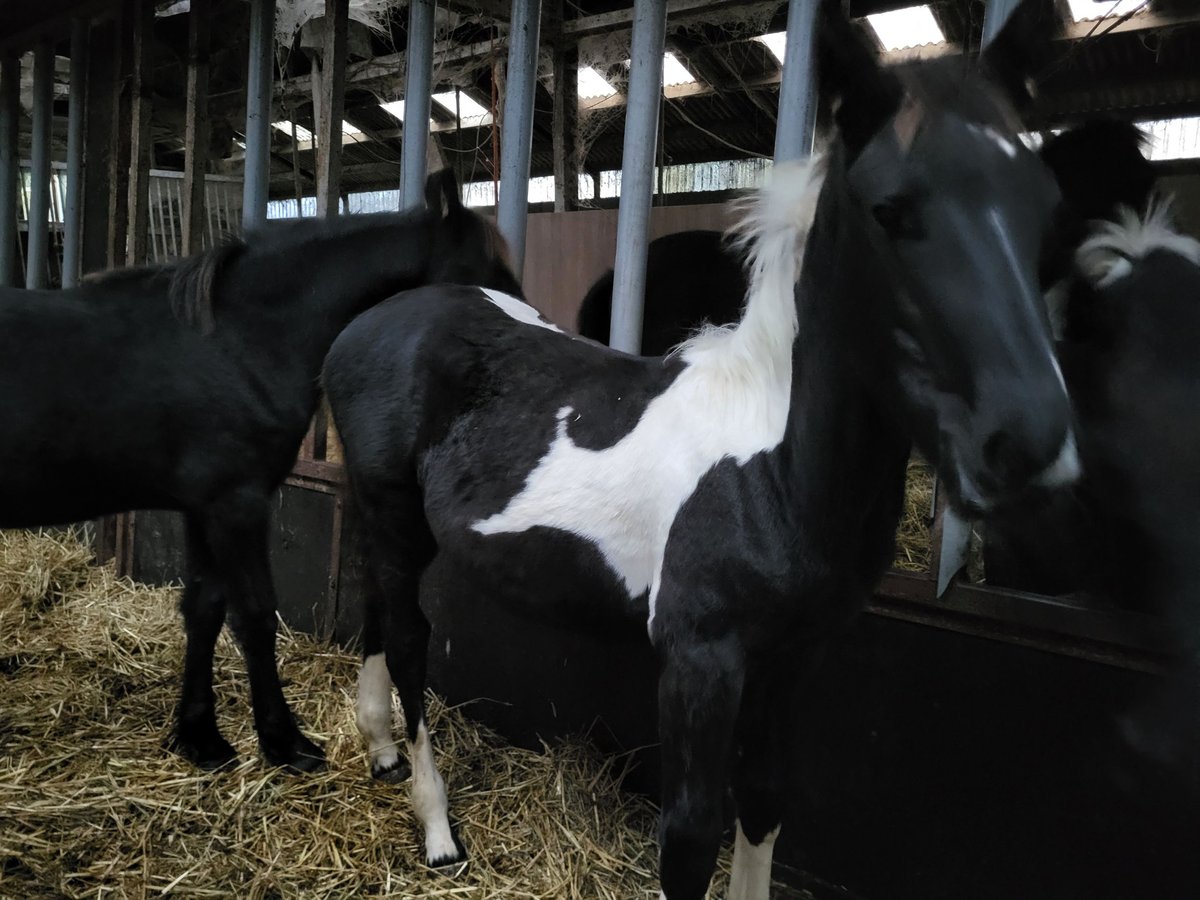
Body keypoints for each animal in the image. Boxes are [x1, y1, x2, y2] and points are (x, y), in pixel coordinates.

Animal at [0, 170, 520, 777]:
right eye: (489, 279)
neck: (237, 343)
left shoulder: (202, 507)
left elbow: (203, 609)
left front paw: (200, 737)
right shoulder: (237, 505)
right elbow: (254, 618)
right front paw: (283, 741)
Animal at [321, 8, 1080, 900]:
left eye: (1044, 205)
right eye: (889, 209)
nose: (1032, 442)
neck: (772, 469)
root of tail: (378, 318)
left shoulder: (792, 659)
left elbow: (765, 800)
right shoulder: (700, 662)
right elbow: (689, 835)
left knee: (379, 611)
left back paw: (378, 751)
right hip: (393, 513)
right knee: (409, 639)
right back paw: (438, 829)